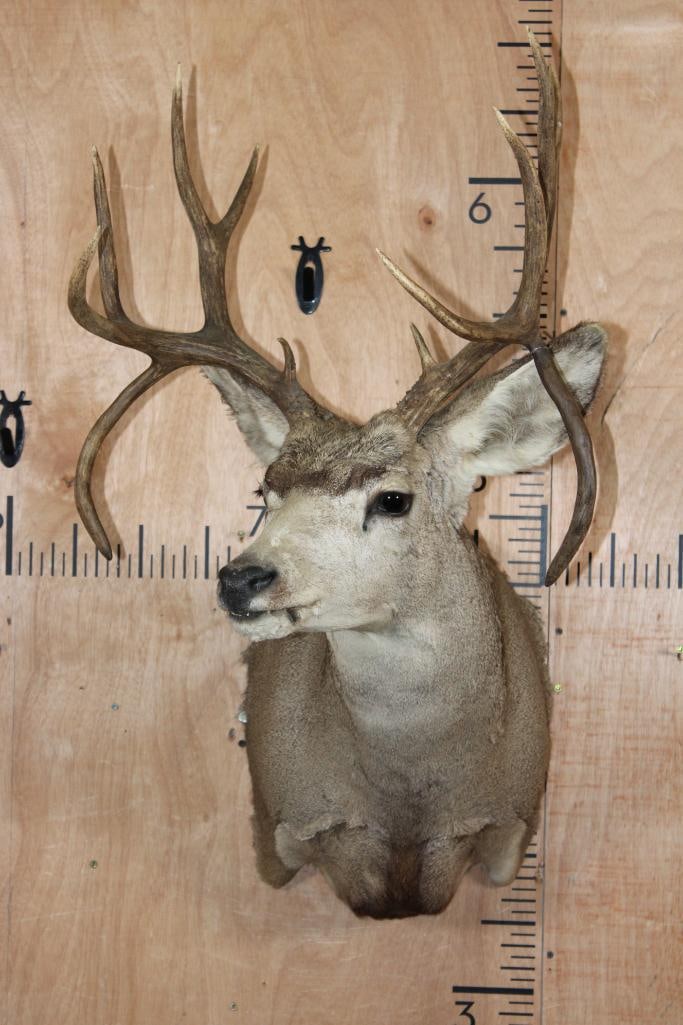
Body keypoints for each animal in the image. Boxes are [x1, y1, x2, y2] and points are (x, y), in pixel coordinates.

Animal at [68, 31, 605, 918]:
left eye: (392, 498)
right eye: (264, 490)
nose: (241, 578)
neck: (408, 788)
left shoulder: (507, 824)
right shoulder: (284, 823)